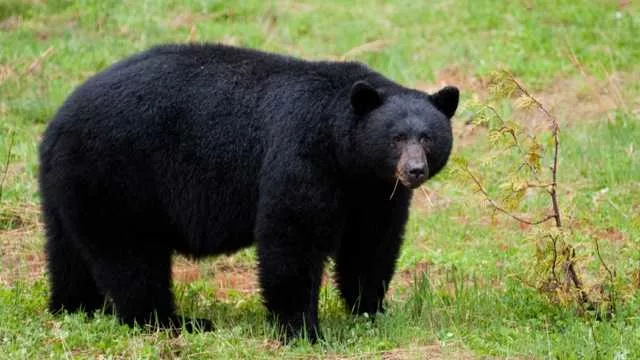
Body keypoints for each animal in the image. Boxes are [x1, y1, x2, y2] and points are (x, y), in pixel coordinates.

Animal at [38, 43, 460, 342]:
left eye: (427, 137)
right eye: (396, 137)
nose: (414, 170)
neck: (345, 154)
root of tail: (57, 121)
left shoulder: (372, 191)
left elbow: (371, 245)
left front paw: (372, 311)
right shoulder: (303, 154)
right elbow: (292, 236)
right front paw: (303, 330)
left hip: (70, 184)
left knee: (68, 249)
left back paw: (75, 307)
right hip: (119, 174)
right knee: (131, 257)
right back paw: (174, 321)